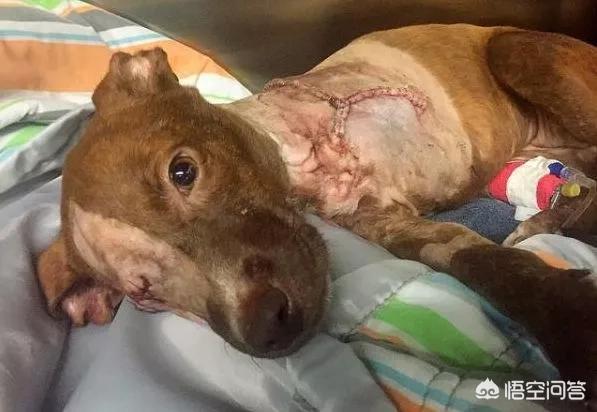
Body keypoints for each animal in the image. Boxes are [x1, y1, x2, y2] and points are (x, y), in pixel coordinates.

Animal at [37, 24, 597, 397]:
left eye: (183, 172)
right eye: (144, 293)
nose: (266, 329)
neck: (301, 159)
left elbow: (507, 271)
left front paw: (570, 322)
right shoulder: (396, 227)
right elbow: (481, 261)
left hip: (517, 50)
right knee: (585, 182)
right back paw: (555, 215)